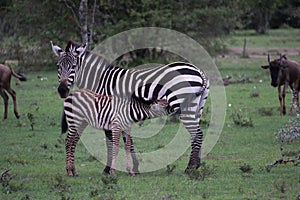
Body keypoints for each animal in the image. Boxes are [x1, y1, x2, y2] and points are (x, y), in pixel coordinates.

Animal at [51, 40, 210, 173]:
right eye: (58, 67)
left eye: (73, 67)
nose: (62, 91)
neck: (101, 79)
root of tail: (199, 71)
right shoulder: (120, 114)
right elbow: (129, 141)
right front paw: (135, 167)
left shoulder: (107, 113)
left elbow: (111, 143)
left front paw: (107, 169)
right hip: (197, 107)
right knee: (197, 134)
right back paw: (196, 164)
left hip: (185, 107)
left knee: (197, 134)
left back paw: (190, 168)